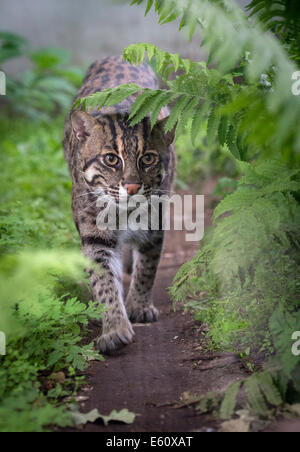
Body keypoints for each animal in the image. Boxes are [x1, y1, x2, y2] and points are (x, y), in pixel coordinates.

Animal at [63, 55, 176, 354]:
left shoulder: (154, 226)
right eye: (111, 160)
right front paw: (114, 327)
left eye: (147, 159)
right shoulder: (95, 236)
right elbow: (103, 282)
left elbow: (147, 268)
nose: (133, 187)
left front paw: (139, 306)